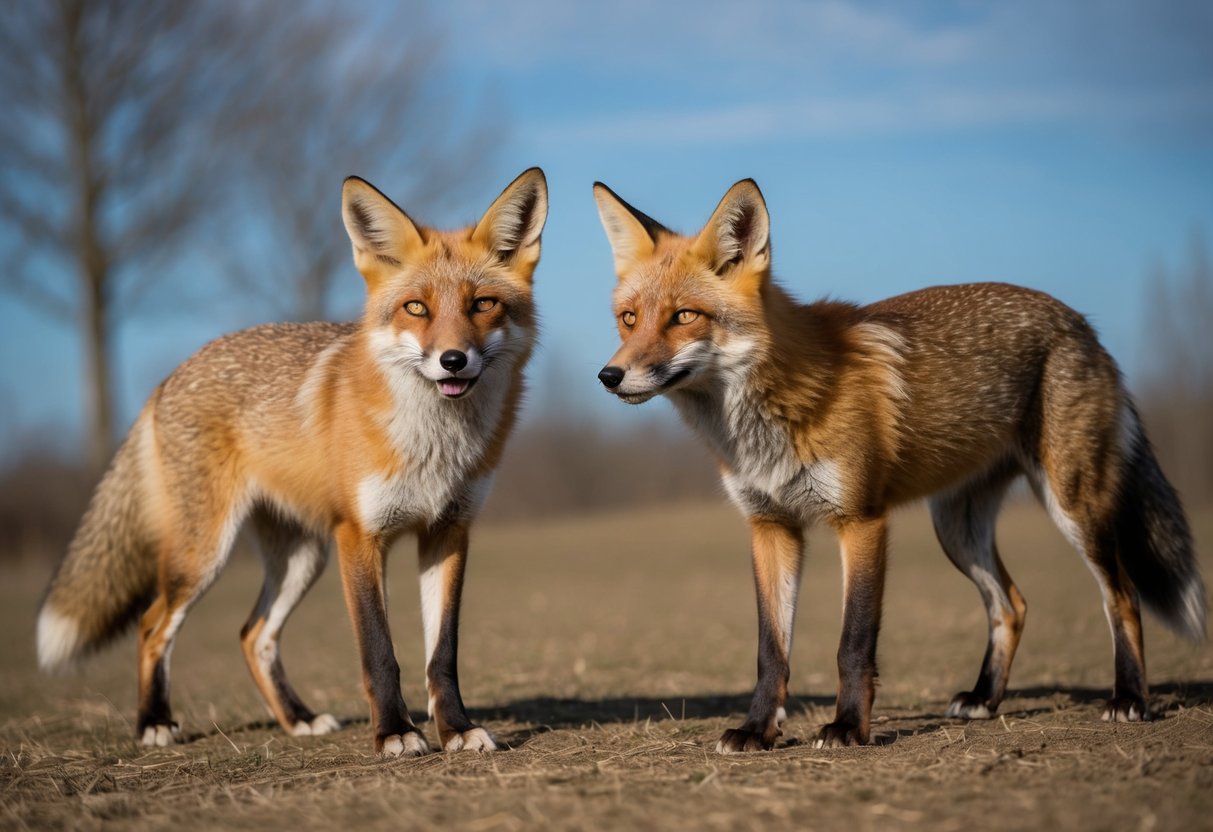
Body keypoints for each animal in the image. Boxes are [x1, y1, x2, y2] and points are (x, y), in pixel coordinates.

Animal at [36, 168, 548, 757]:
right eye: (416, 308)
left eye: (482, 305)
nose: (453, 360)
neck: (434, 448)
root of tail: (172, 374)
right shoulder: (359, 536)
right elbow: (379, 651)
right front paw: (395, 733)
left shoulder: (449, 530)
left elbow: (442, 654)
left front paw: (457, 730)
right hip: (203, 554)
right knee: (151, 624)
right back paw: (154, 723)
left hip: (301, 558)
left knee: (251, 634)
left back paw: (296, 718)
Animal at [592, 177, 1206, 751]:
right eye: (629, 319)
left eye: (684, 317)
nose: (609, 376)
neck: (765, 423)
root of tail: (1082, 322)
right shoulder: (770, 526)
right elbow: (772, 652)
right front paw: (758, 730)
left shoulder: (861, 520)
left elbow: (853, 643)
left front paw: (847, 727)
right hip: (956, 529)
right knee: (1012, 604)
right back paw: (984, 699)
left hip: (1073, 504)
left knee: (1121, 596)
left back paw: (1130, 698)